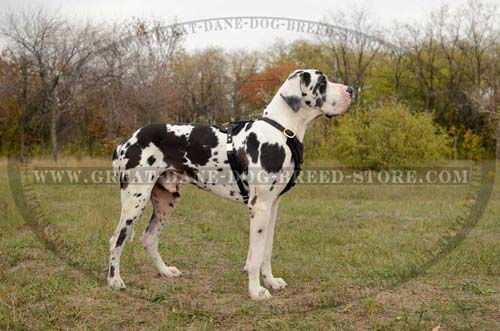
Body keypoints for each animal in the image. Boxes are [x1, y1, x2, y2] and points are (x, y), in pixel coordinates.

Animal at [108, 69, 352, 300]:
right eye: (322, 82)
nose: (351, 90)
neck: (281, 130)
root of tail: (125, 142)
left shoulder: (272, 207)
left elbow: (266, 251)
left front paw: (271, 281)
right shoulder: (259, 207)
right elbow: (255, 257)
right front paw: (256, 291)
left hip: (165, 201)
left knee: (149, 238)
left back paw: (165, 271)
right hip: (134, 201)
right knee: (116, 239)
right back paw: (114, 280)